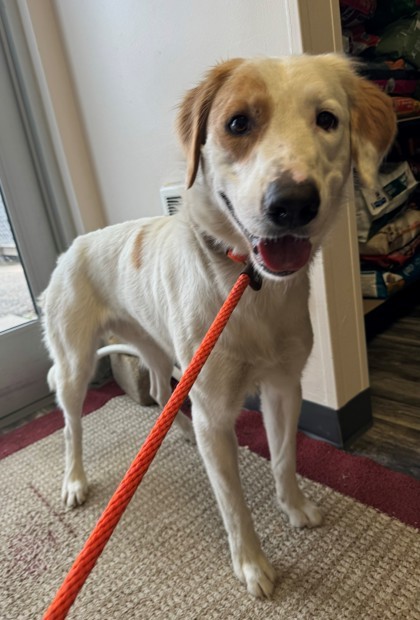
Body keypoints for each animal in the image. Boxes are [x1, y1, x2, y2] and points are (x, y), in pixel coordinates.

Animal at [41, 55, 396, 600]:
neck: (249, 287)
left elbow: (284, 459)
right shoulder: (214, 411)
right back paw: (75, 480)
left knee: (160, 390)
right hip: (76, 364)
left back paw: (180, 432)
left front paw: (294, 508)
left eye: (328, 119)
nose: (292, 202)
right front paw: (251, 565)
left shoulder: (283, 387)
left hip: (157, 349)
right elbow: (234, 506)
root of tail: (72, 248)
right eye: (238, 124)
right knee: (71, 425)